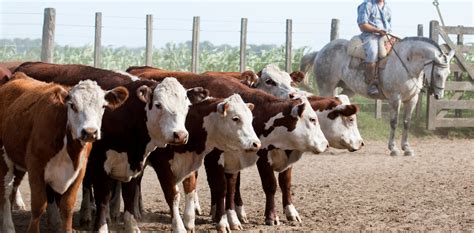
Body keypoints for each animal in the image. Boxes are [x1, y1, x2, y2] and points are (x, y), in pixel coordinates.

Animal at [0, 72, 128, 232]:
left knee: (13, 188)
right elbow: (38, 206)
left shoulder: (79, 171)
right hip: (4, 158)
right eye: (72, 105)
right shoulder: (36, 168)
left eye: (103, 106)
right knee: (6, 191)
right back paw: (7, 227)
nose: (90, 132)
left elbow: (67, 206)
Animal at [128, 66, 332, 232]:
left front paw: (289, 213)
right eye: (312, 119)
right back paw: (139, 211)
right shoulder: (239, 157)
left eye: (290, 81)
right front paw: (268, 217)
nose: (325, 144)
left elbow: (280, 183)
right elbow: (261, 186)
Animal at [300, 36, 456, 157]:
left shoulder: (411, 99)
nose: (439, 95)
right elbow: (394, 122)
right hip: (326, 87)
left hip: (347, 89)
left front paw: (406, 148)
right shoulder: (395, 98)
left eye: (448, 73)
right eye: (438, 74)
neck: (406, 63)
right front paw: (393, 149)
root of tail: (320, 51)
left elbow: (406, 122)